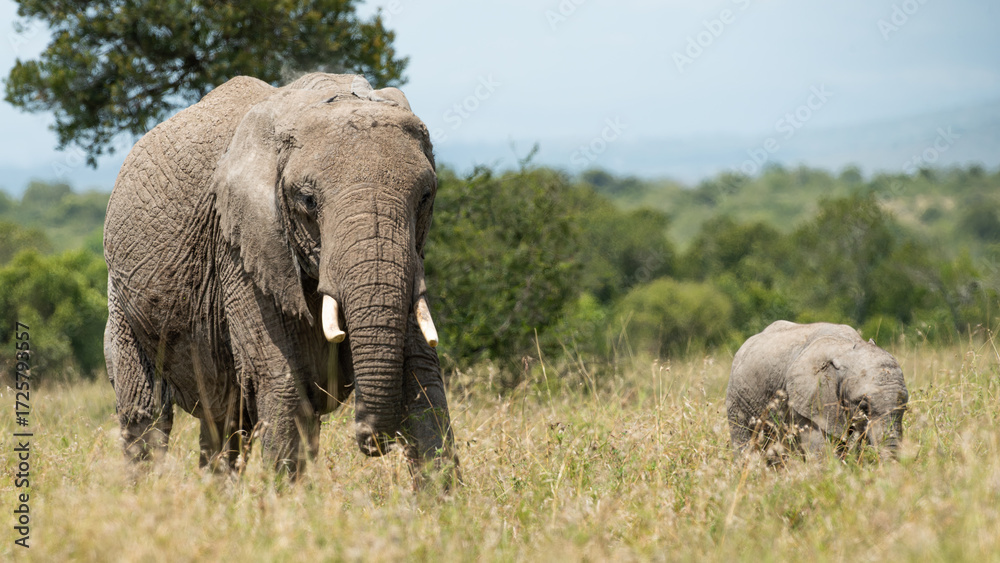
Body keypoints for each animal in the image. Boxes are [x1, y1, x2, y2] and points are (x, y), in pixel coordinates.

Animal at [103, 73, 458, 479]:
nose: (372, 442)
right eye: (308, 201)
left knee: (224, 422)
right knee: (145, 414)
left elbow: (422, 377)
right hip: (123, 300)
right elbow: (284, 382)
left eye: (426, 197)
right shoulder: (239, 247)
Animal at [726, 320, 908, 460]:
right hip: (737, 400)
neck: (846, 346)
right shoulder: (807, 399)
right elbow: (820, 448)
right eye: (863, 407)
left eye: (904, 407)